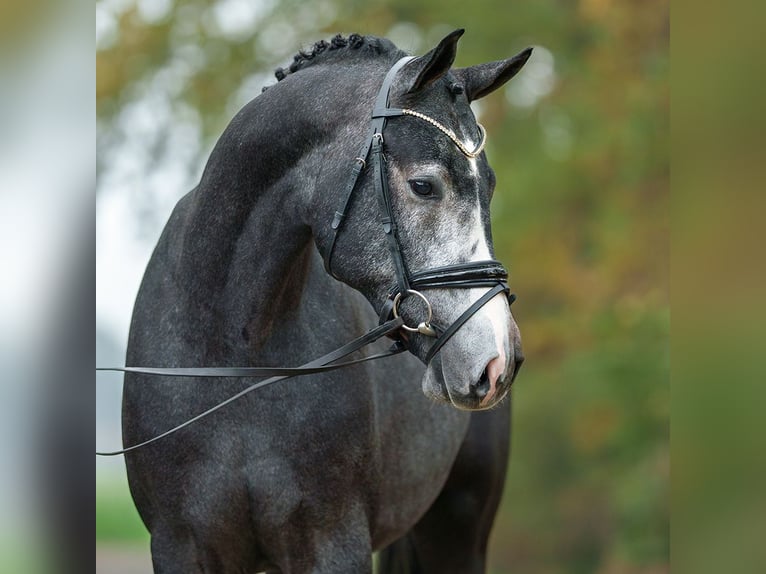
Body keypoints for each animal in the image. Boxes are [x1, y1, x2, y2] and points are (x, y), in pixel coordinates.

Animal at [123, 29, 532, 572]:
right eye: (424, 185)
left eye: (490, 186)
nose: (499, 361)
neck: (235, 361)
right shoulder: (181, 546)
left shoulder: (332, 542)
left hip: (457, 531)